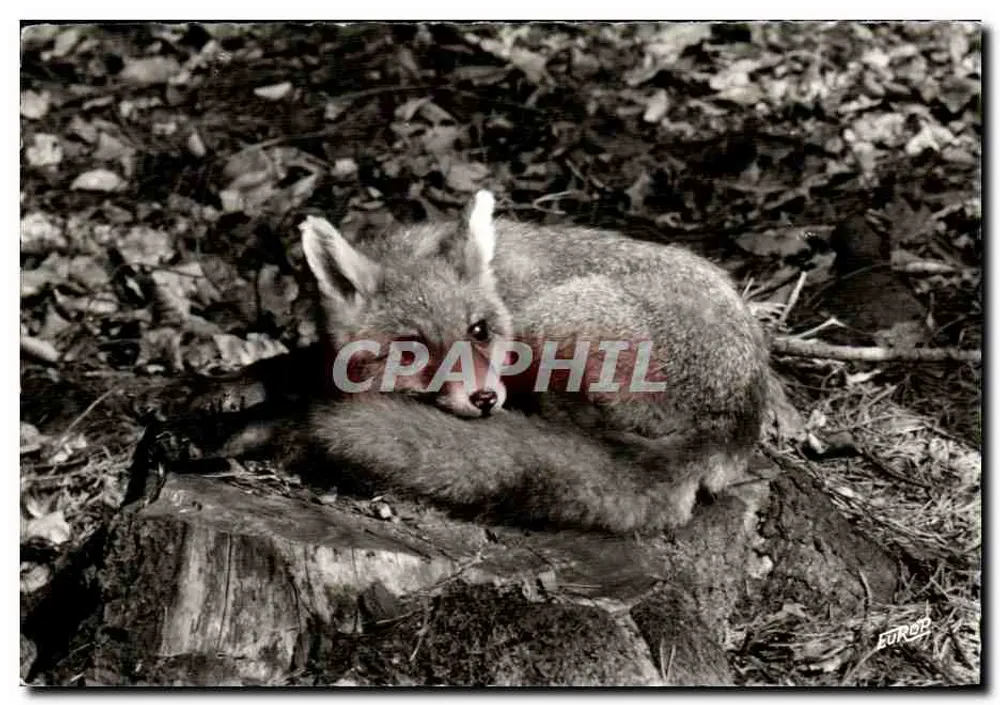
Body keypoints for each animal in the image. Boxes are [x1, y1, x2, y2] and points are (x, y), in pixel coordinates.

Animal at [299, 191, 770, 534]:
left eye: (478, 330)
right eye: (411, 351)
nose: (485, 398)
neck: (502, 283)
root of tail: (728, 424)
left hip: (552, 322)